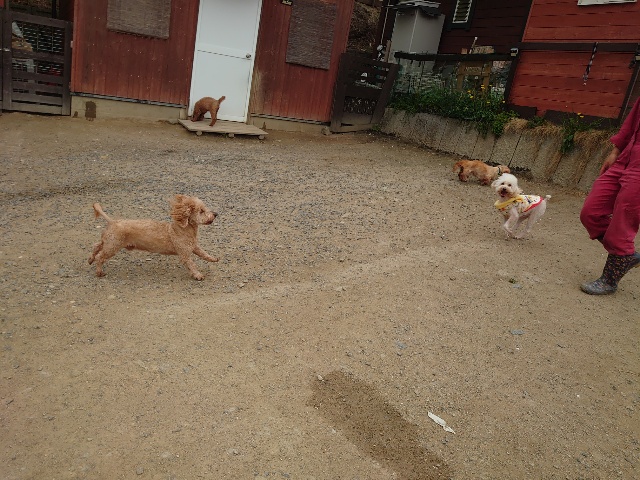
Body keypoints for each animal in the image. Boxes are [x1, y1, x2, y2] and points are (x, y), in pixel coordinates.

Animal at [88, 195, 219, 280]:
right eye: (201, 211)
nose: (216, 214)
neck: (183, 229)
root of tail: (112, 221)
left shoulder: (194, 246)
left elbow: (203, 253)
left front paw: (213, 259)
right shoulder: (184, 253)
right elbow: (192, 264)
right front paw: (198, 275)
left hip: (109, 241)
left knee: (96, 246)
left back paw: (90, 259)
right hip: (113, 245)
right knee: (100, 256)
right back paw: (99, 272)